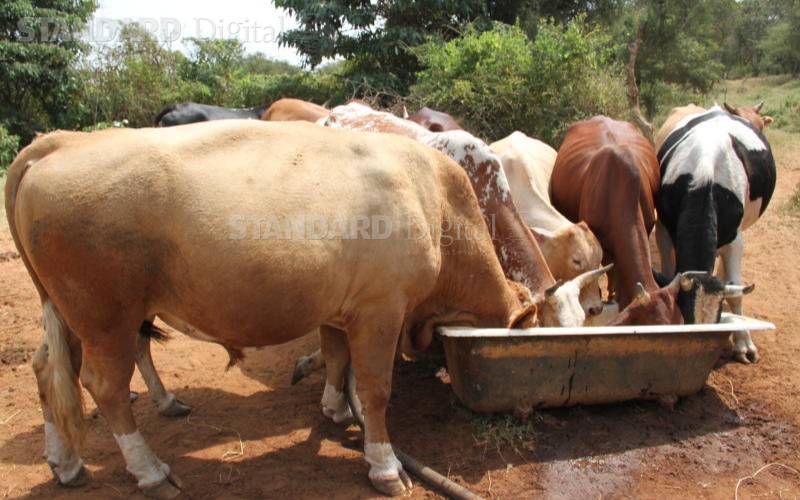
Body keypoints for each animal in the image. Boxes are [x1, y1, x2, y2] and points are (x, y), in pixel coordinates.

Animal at [4, 120, 544, 496]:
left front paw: (333, 408)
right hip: (105, 315)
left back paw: (66, 463)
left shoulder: (338, 309)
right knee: (105, 388)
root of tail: (63, 142)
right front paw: (385, 465)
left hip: (66, 312)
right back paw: (151, 472)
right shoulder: (380, 309)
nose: (526, 412)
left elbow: (336, 358)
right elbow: (375, 389)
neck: (437, 199)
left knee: (49, 370)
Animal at [656, 104, 776, 364]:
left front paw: (743, 343)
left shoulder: (735, 238)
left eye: (715, 319)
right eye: (684, 315)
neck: (705, 178)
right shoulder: (663, 227)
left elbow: (736, 292)